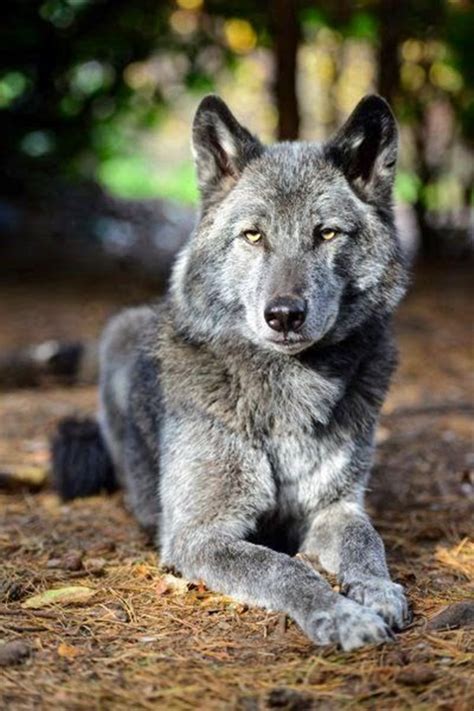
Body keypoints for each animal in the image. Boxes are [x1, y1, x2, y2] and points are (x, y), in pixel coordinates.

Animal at [53, 94, 410, 650]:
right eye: (254, 235)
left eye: (327, 233)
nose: (284, 315)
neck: (287, 394)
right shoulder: (200, 535)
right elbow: (285, 568)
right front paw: (340, 614)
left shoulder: (336, 508)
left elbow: (366, 541)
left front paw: (377, 590)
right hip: (118, 329)